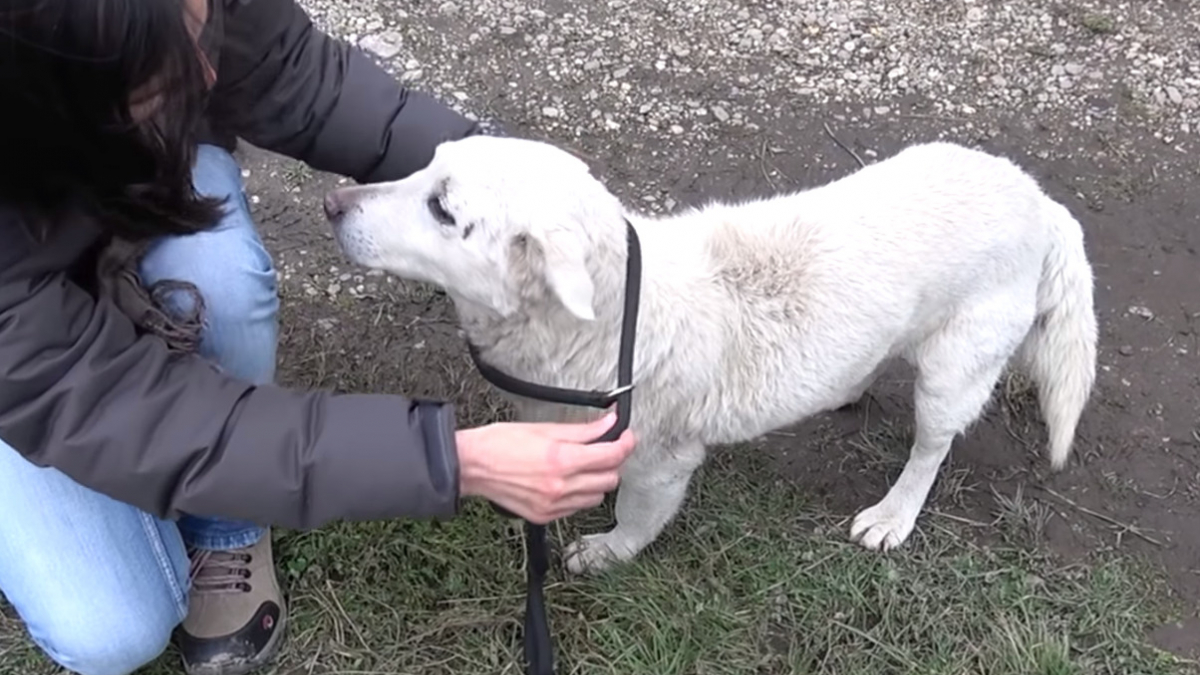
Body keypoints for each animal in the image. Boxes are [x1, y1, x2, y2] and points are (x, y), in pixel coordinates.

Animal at [321, 135, 1099, 571]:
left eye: (443, 209)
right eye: (423, 167)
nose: (333, 204)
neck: (608, 321)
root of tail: (1040, 201)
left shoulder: (662, 462)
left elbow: (637, 516)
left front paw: (608, 552)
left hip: (951, 374)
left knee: (930, 451)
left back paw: (894, 514)